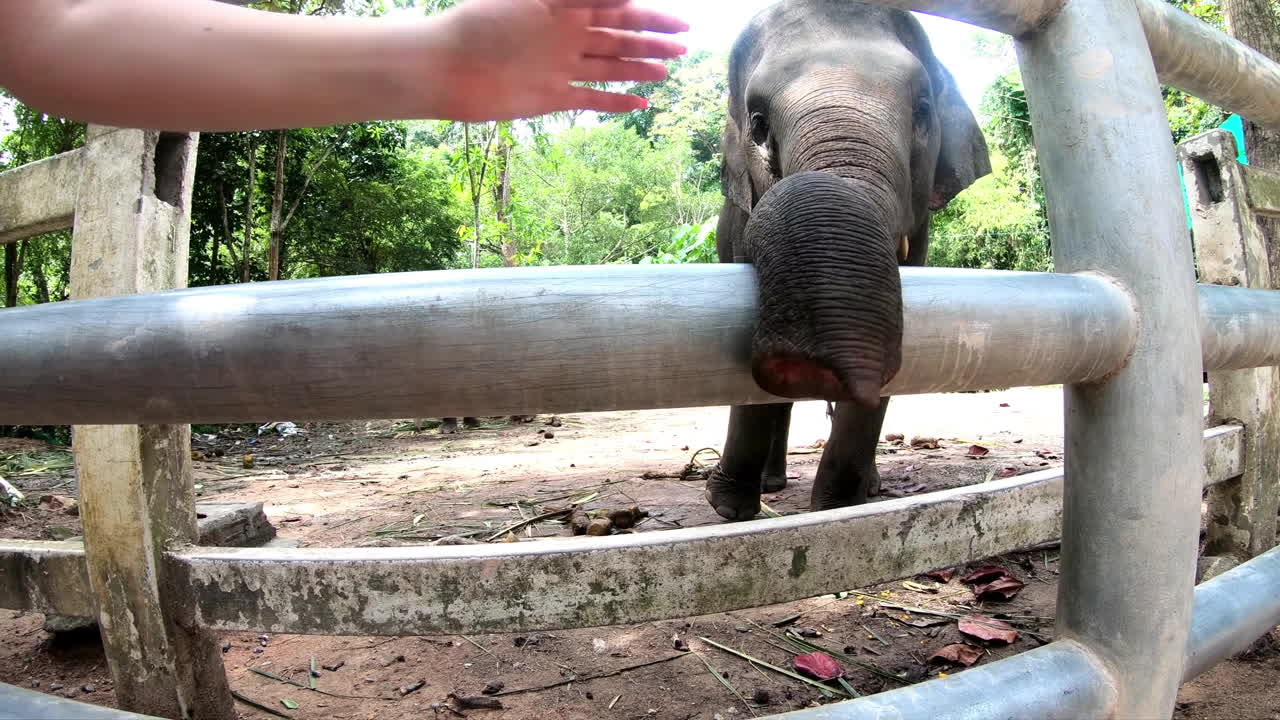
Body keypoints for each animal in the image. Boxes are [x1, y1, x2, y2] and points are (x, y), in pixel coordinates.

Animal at [705, 0, 991, 521]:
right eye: (758, 123)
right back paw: (772, 483)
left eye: (923, 108)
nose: (808, 361)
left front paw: (839, 509)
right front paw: (729, 509)